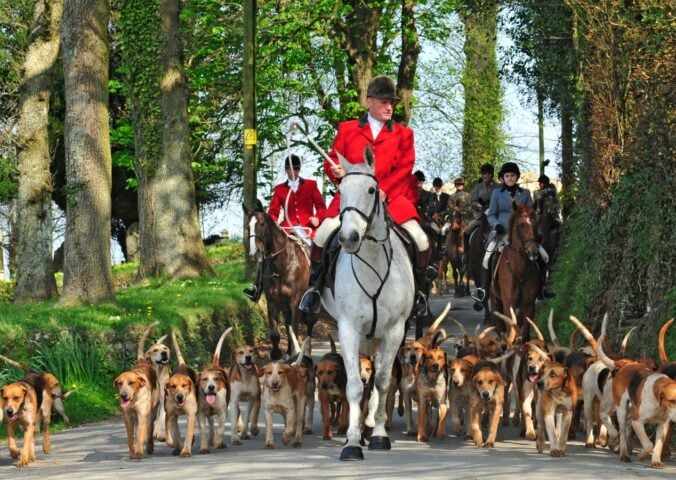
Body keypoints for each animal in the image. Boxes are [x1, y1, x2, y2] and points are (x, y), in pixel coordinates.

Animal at [244, 202, 316, 360]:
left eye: (262, 223)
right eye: (247, 226)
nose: (254, 254)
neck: (282, 265)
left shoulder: (296, 301)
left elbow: (294, 329)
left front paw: (295, 353)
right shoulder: (272, 302)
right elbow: (276, 334)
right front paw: (277, 354)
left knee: (309, 325)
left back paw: (306, 351)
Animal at [320, 147, 414, 462]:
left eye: (372, 190)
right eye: (340, 190)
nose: (348, 238)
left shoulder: (395, 330)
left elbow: (383, 382)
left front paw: (380, 436)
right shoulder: (349, 329)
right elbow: (353, 386)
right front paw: (351, 442)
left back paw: (371, 425)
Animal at [492, 202, 540, 338]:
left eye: (536, 222)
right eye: (520, 225)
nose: (533, 252)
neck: (520, 269)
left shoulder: (529, 305)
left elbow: (523, 333)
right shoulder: (508, 304)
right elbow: (512, 332)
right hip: (495, 303)